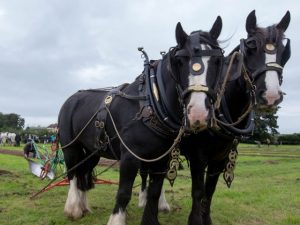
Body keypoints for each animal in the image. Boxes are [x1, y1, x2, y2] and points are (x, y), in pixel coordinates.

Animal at [58, 18, 225, 225]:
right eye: (180, 61)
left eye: (218, 61)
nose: (198, 113)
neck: (150, 104)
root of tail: (71, 99)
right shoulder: (130, 157)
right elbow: (123, 193)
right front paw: (116, 220)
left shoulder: (161, 159)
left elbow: (154, 192)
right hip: (70, 147)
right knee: (73, 173)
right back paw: (73, 208)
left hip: (91, 151)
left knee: (84, 172)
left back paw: (83, 207)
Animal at [138, 10, 290, 225]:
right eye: (251, 47)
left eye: (284, 51)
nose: (270, 96)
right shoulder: (198, 157)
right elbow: (198, 191)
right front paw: (195, 220)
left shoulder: (220, 158)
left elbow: (210, 191)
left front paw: (206, 218)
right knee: (146, 171)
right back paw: (143, 199)